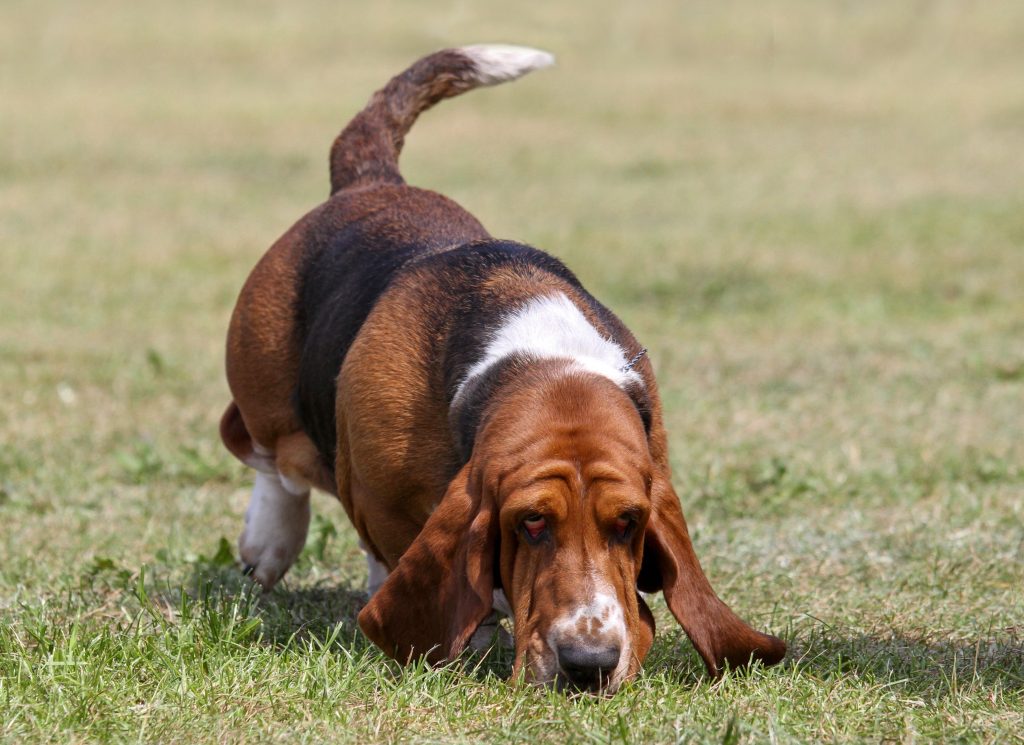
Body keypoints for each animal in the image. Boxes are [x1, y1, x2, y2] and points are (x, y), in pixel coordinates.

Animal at [222, 42, 782, 691]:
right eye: (531, 522)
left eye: (628, 523)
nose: (589, 666)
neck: (535, 356)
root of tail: (372, 180)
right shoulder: (379, 498)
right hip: (263, 385)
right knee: (268, 455)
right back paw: (270, 542)